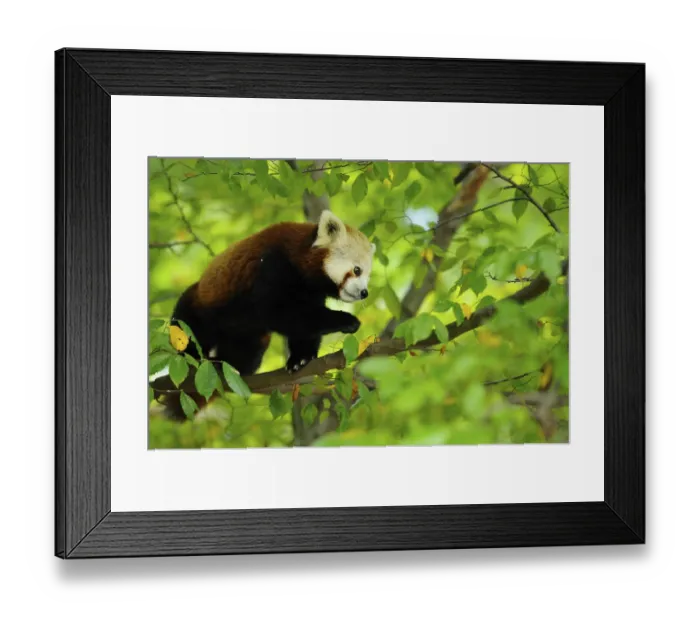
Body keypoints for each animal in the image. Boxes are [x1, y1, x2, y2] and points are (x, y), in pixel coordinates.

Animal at [171, 210, 375, 376]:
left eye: (367, 276)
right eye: (357, 270)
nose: (364, 292)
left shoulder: (311, 292)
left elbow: (305, 324)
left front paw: (301, 358)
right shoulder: (271, 266)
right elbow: (279, 313)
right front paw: (346, 320)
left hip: (251, 336)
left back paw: (231, 366)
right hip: (198, 308)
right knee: (188, 329)